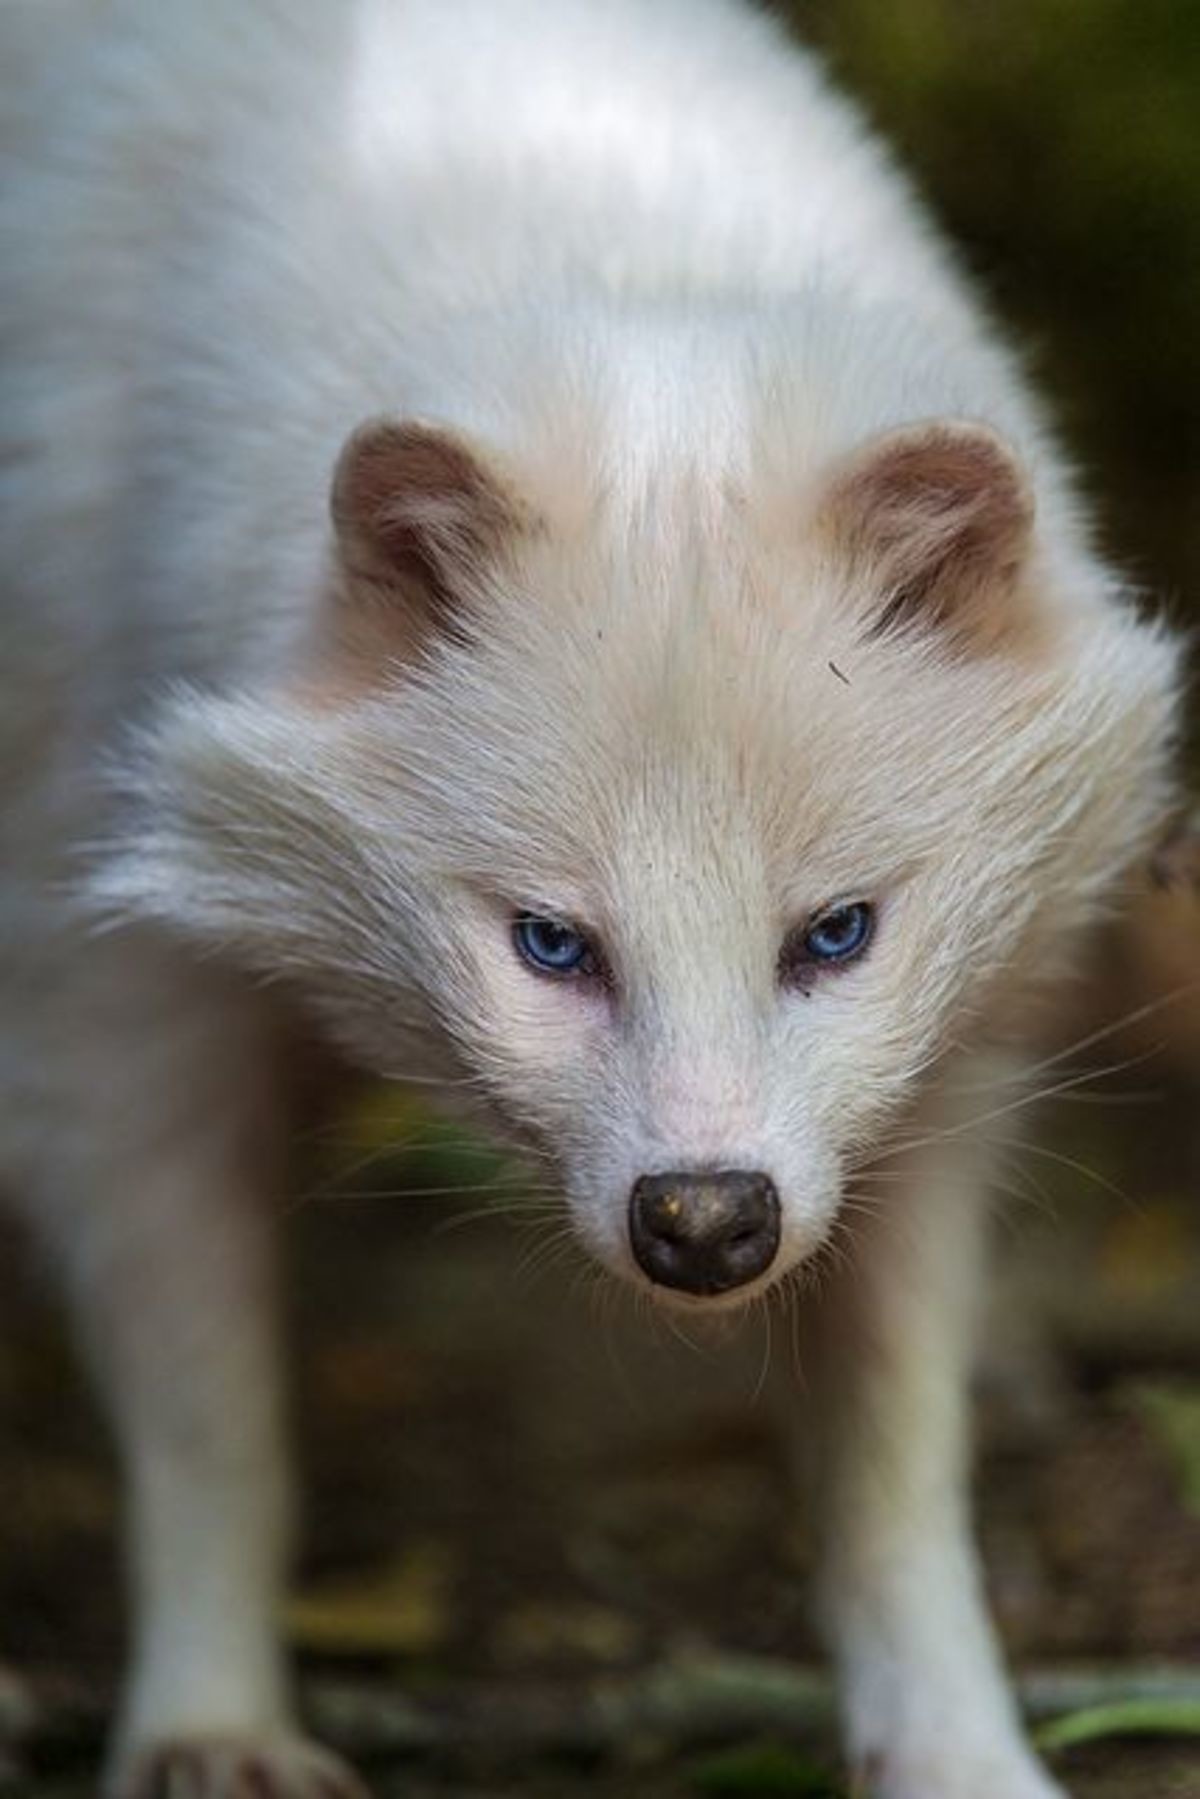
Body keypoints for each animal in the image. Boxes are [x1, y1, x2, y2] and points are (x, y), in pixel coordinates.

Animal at [0, 3, 1180, 1799]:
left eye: (836, 932)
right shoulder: (106, 1005)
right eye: (550, 942)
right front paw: (211, 1725)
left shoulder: (937, 1092)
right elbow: (210, 1420)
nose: (703, 1222)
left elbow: (895, 1461)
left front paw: (957, 1744)